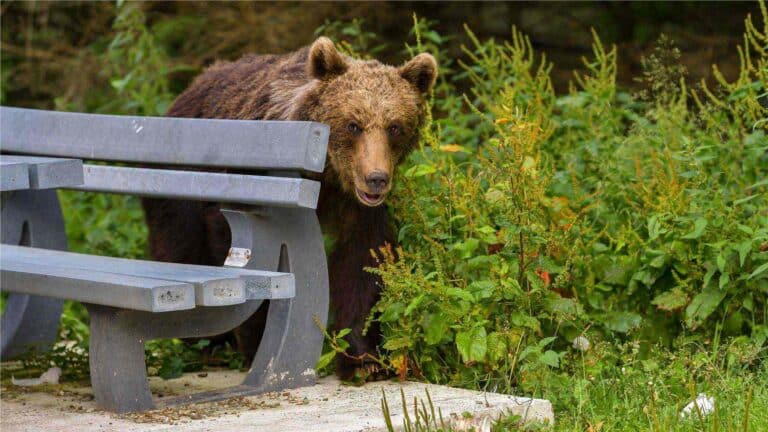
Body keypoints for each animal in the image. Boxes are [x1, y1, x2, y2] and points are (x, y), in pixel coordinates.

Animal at [141, 37, 437, 379]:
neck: (325, 173)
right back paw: (208, 341)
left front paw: (365, 360)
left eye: (395, 127)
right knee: (183, 244)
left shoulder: (355, 206)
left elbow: (361, 261)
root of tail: (188, 89)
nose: (376, 178)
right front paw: (258, 344)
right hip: (179, 181)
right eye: (353, 125)